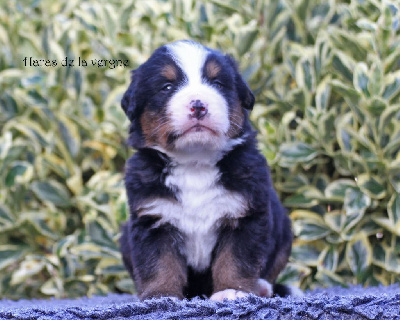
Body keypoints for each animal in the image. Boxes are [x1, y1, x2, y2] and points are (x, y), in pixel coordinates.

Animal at [119, 40, 296, 300]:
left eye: (217, 83)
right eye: (167, 87)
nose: (198, 105)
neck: (195, 162)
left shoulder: (246, 214)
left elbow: (236, 259)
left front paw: (232, 291)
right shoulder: (153, 217)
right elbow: (159, 263)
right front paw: (160, 295)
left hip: (284, 229)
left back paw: (262, 287)